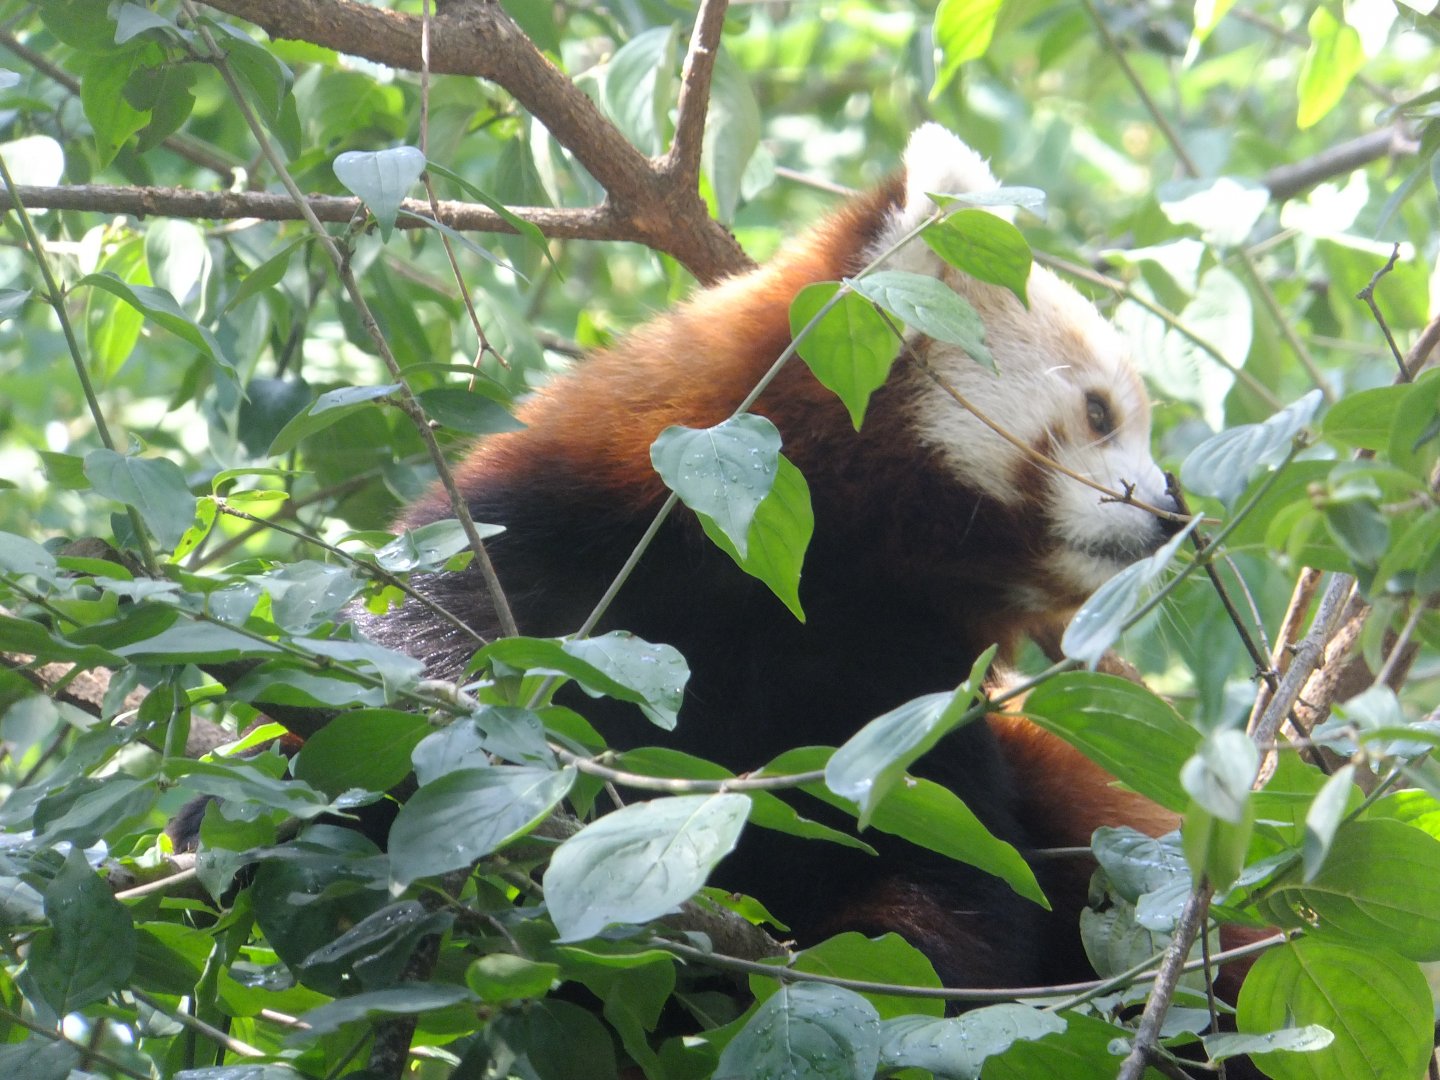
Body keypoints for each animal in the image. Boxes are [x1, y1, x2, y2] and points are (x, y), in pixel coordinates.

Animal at [360, 124, 1183, 990]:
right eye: (1100, 414)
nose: (1172, 511)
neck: (788, 579)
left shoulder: (902, 691)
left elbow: (953, 877)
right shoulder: (530, 545)